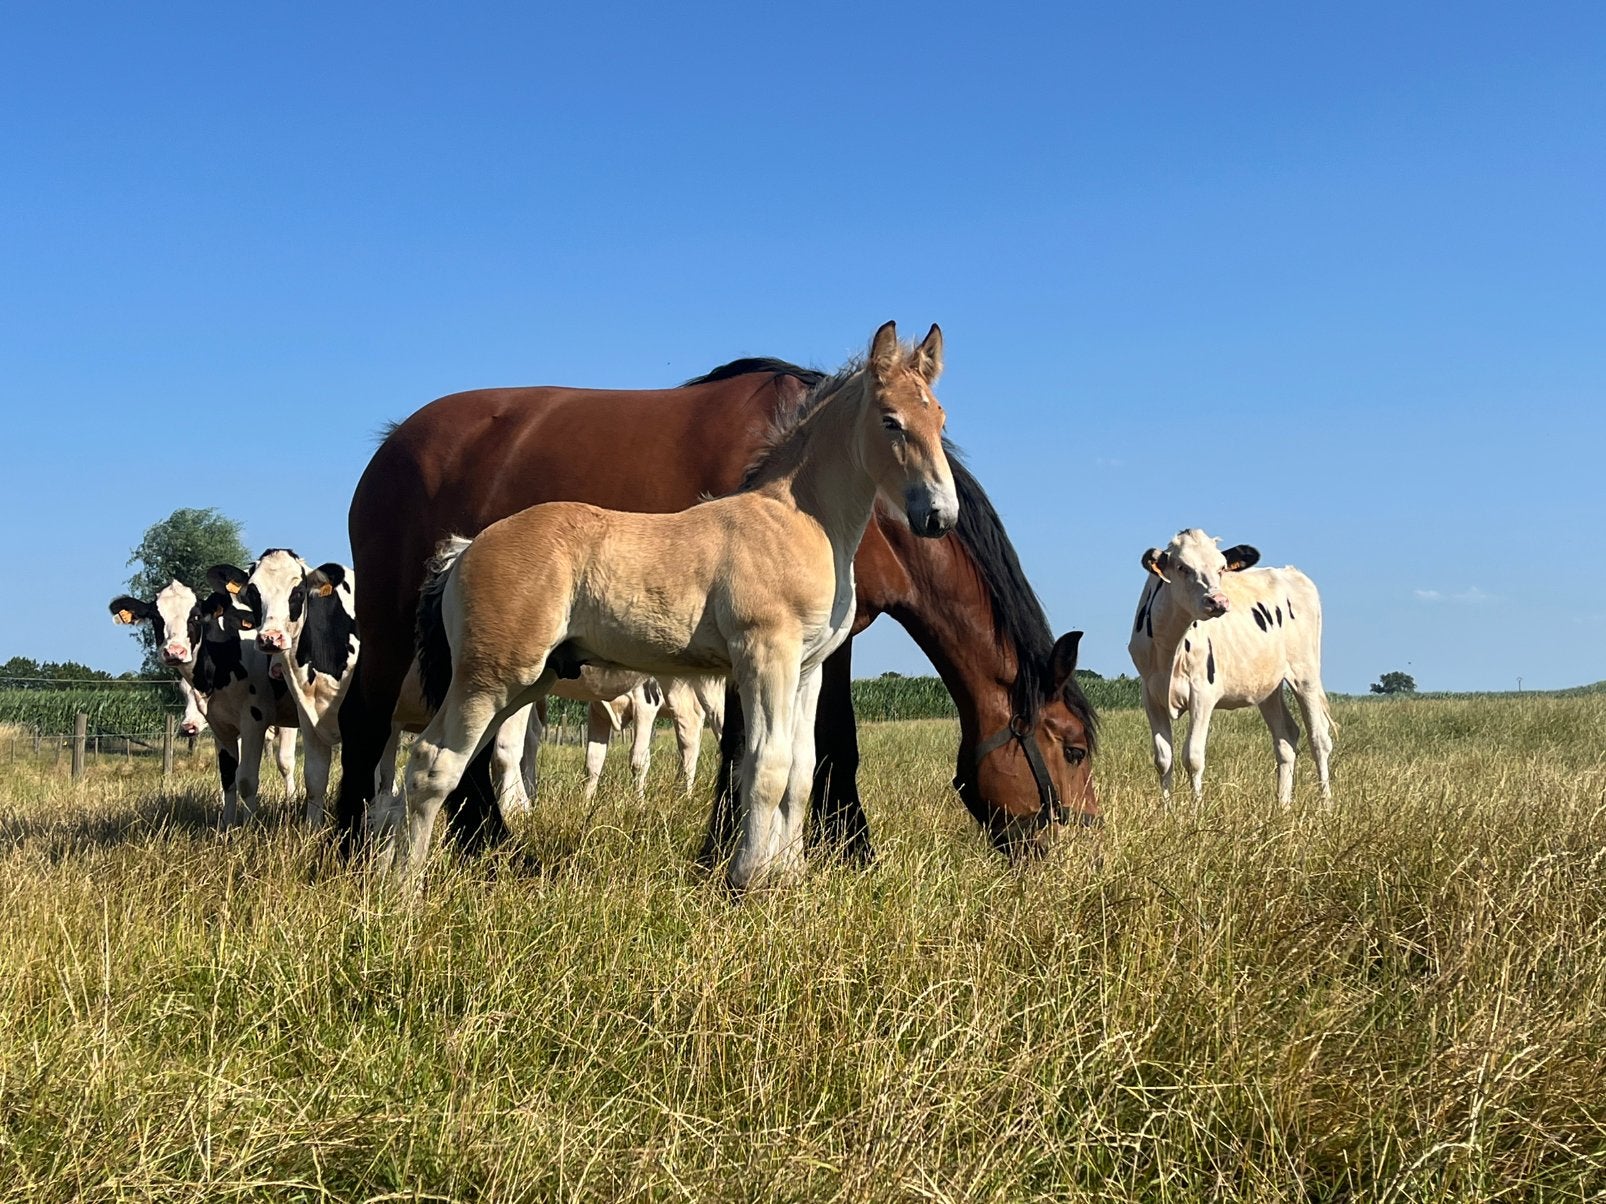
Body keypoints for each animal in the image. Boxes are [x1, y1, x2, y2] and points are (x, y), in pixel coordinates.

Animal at [336, 335, 1099, 865]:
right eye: (1074, 748)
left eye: (940, 418)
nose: (1081, 843)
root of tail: (392, 443)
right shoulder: (769, 650)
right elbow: (782, 755)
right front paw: (776, 863)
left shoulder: (815, 651)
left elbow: (803, 758)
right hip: (403, 638)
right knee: (379, 731)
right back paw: (359, 859)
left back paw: (488, 852)